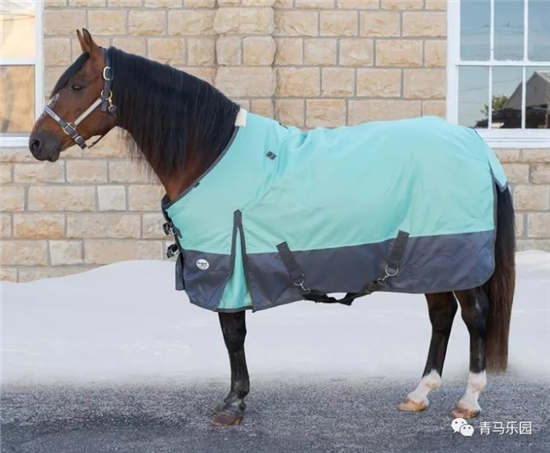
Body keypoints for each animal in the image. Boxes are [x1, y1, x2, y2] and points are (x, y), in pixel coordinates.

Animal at [29, 29, 515, 427]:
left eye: (76, 85)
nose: (36, 143)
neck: (209, 153)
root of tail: (476, 146)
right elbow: (234, 337)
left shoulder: (226, 266)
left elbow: (233, 336)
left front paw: (233, 403)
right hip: (430, 259)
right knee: (441, 315)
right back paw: (419, 394)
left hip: (454, 257)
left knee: (474, 316)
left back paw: (468, 401)